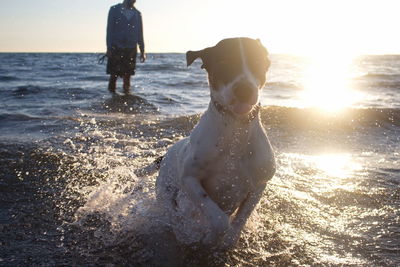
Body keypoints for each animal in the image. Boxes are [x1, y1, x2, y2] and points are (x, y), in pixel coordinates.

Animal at [154, 37, 276, 251]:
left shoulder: (259, 185)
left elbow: (240, 219)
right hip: (165, 191)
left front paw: (228, 240)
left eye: (258, 62)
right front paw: (209, 239)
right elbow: (219, 219)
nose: (244, 89)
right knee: (170, 209)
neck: (234, 128)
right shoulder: (190, 179)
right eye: (223, 63)